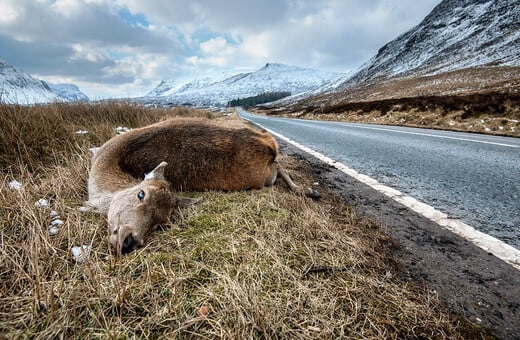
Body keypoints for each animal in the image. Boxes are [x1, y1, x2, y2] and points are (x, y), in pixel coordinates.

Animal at [87, 117, 318, 252]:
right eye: (140, 194)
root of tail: (270, 145)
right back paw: (307, 190)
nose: (129, 241)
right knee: (279, 167)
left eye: (161, 223)